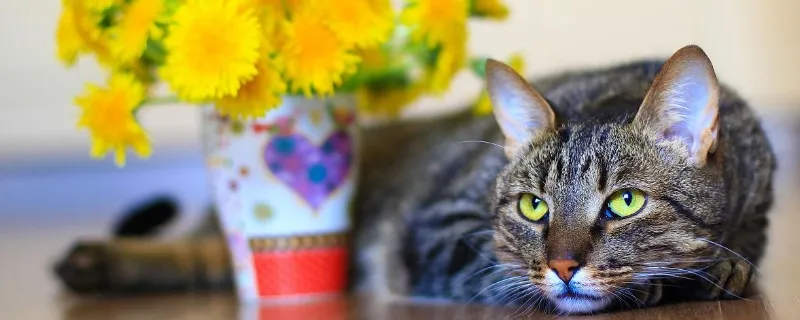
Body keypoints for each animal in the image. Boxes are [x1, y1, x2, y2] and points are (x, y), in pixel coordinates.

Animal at [54, 45, 776, 316]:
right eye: (532, 207)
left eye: (624, 202)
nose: (565, 265)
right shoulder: (440, 232)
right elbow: (504, 272)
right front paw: (692, 275)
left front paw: (720, 266)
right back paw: (92, 262)